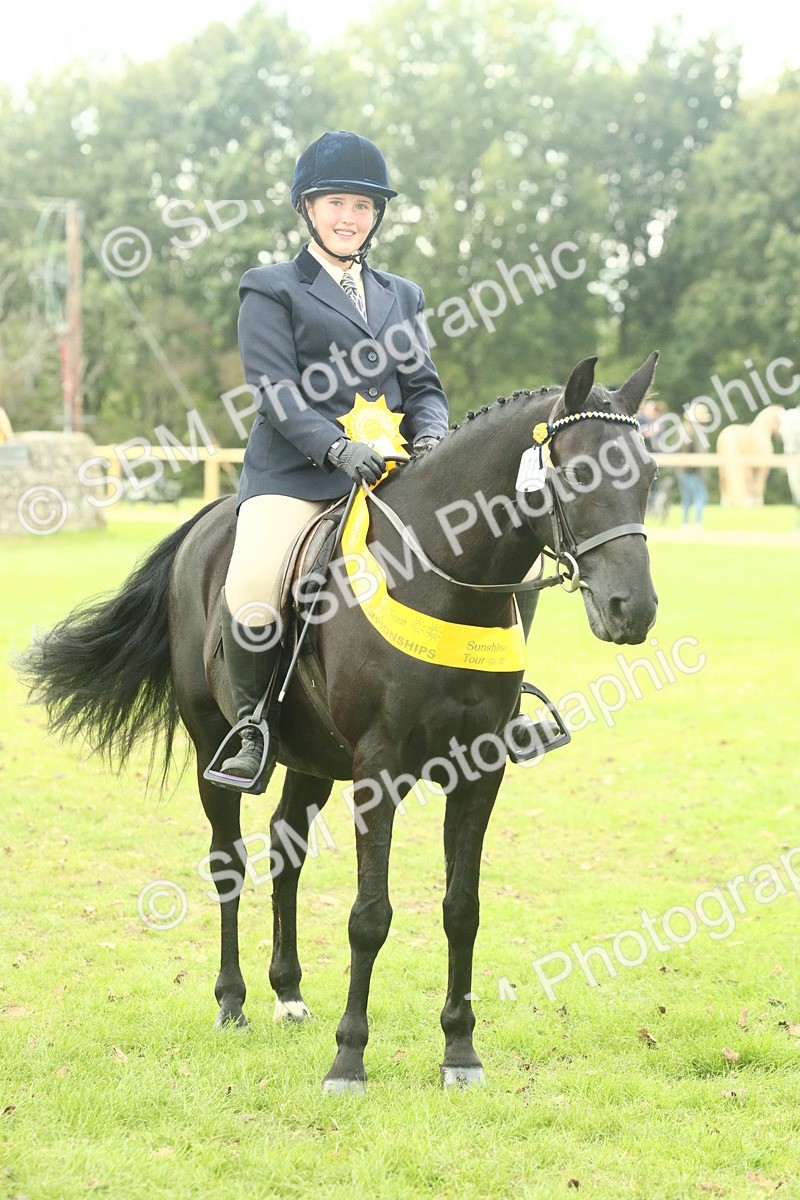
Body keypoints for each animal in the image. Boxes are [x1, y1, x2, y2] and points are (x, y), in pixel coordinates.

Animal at [18, 353, 659, 1093]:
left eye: (648, 474)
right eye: (577, 473)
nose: (633, 610)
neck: (439, 577)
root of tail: (208, 523)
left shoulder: (480, 769)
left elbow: (461, 909)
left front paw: (460, 1051)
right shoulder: (378, 770)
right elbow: (369, 915)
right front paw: (349, 1058)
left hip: (312, 758)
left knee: (285, 849)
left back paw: (289, 993)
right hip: (215, 750)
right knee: (229, 860)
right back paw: (233, 1002)